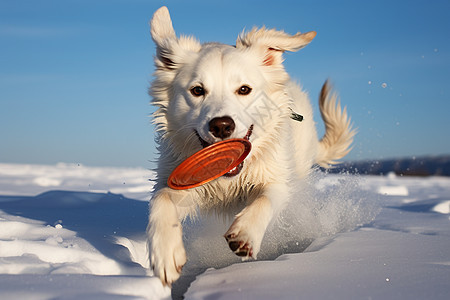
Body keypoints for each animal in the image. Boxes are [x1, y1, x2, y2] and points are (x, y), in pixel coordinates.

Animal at [148, 5, 356, 284]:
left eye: (244, 89)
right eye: (197, 90)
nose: (221, 126)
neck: (228, 181)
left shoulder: (277, 179)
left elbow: (265, 200)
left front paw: (245, 233)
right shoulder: (181, 180)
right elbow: (161, 200)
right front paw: (165, 252)